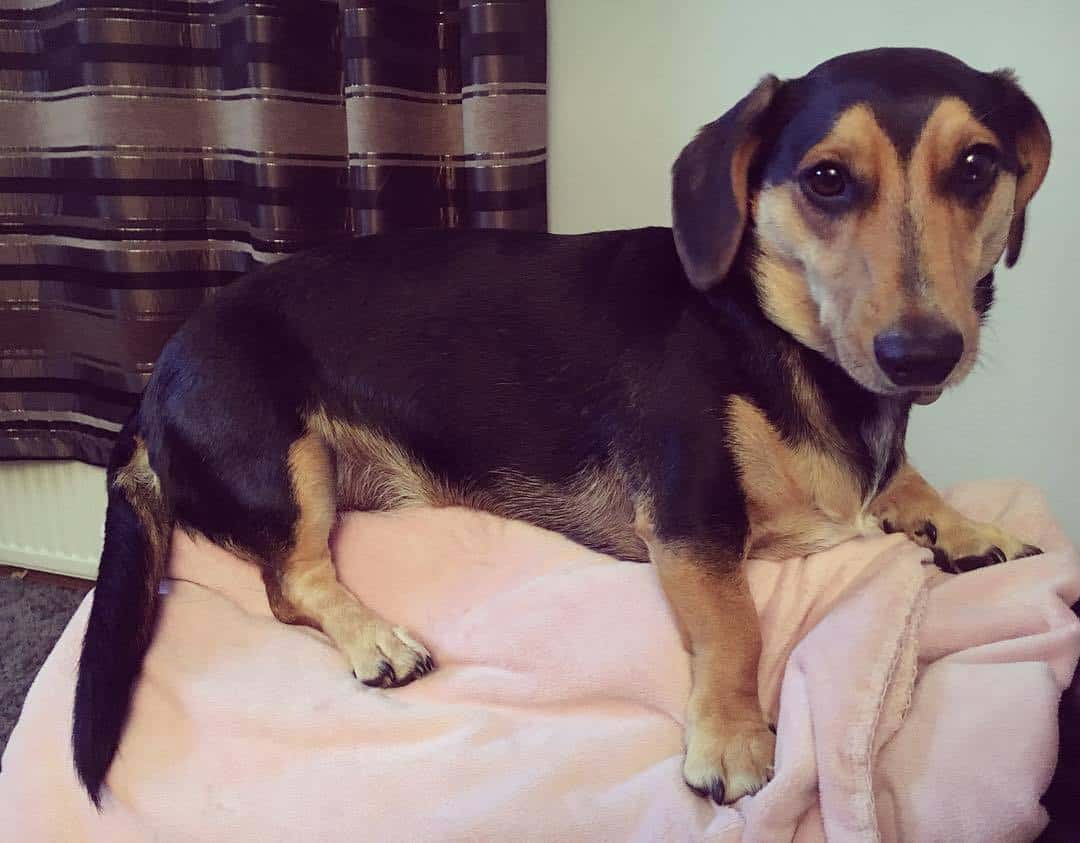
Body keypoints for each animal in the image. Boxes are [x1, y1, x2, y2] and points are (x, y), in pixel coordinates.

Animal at [71, 47, 1049, 807]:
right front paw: (733, 741)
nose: (923, 354)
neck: (774, 332)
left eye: (976, 165)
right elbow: (736, 625)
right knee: (293, 582)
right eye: (827, 179)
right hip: (284, 459)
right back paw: (377, 640)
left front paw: (970, 527)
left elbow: (909, 480)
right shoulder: (690, 521)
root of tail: (152, 387)